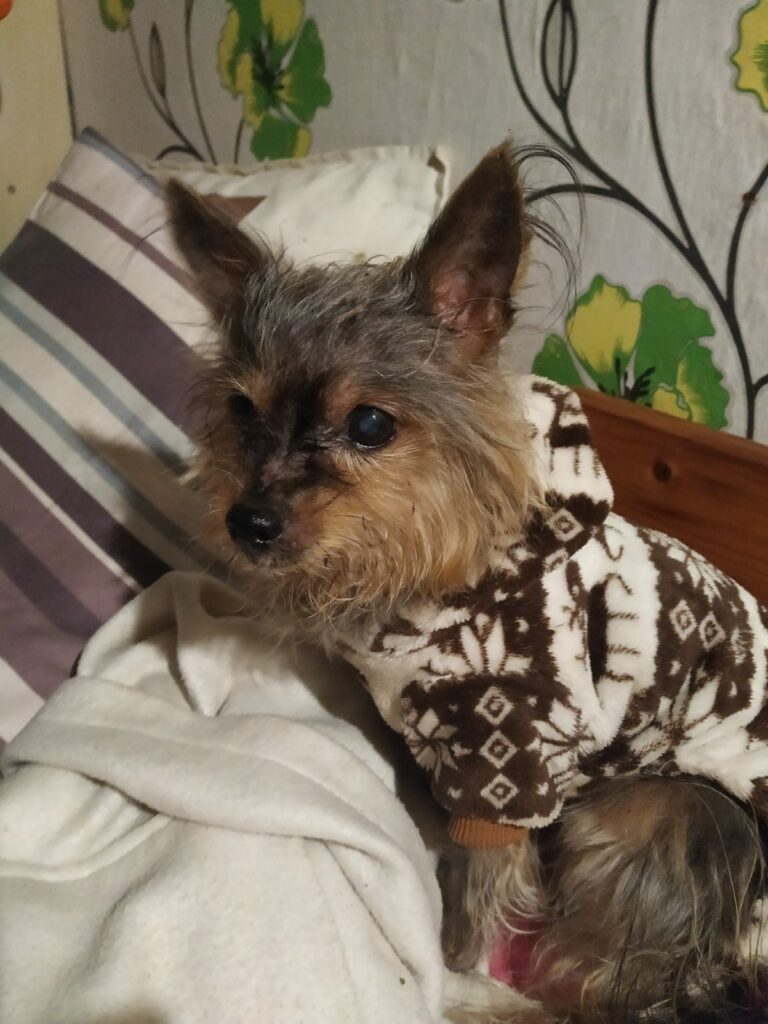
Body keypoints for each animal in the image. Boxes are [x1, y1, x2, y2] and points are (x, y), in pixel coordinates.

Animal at [167, 144, 768, 1023]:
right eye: (242, 409)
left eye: (370, 424)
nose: (248, 521)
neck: (431, 578)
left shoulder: (507, 757)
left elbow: (479, 893)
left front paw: (453, 969)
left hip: (643, 818)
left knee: (598, 975)